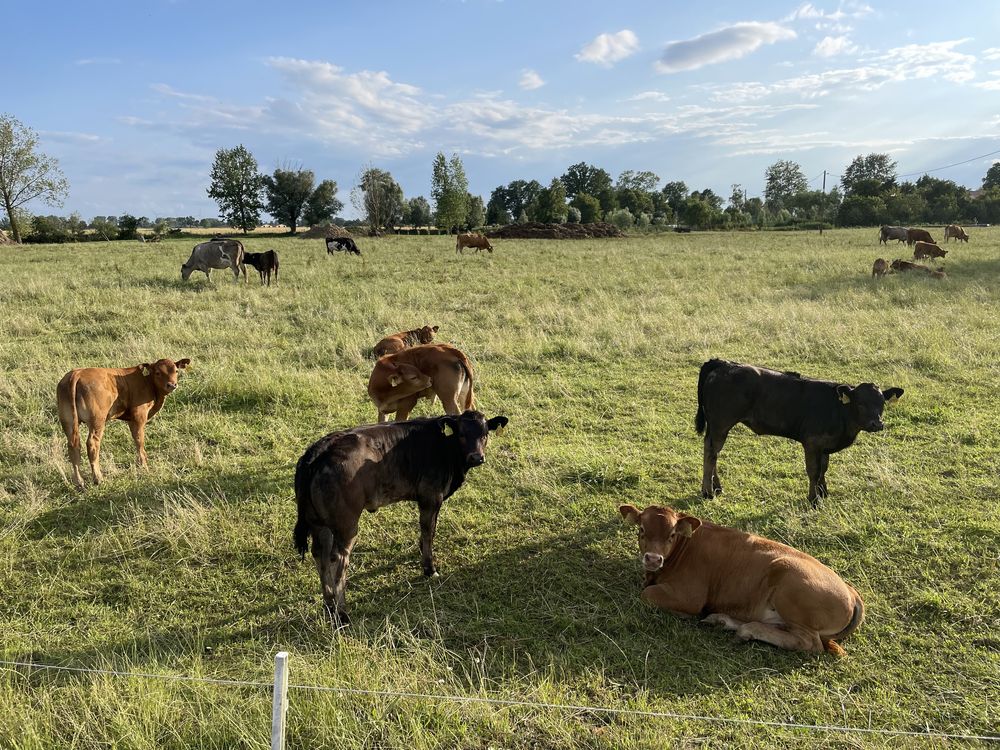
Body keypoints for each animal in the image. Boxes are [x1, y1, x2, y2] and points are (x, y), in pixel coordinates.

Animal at [56, 360, 191, 490]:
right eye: (157, 372)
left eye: (176, 371)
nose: (172, 385)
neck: (147, 382)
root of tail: (76, 374)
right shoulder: (139, 417)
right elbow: (139, 441)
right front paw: (144, 466)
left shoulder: (131, 420)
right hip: (97, 421)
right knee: (92, 444)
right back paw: (98, 478)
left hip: (68, 421)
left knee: (73, 446)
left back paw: (79, 482)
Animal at [290, 412, 508, 624]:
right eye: (461, 434)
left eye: (484, 434)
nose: (476, 457)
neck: (445, 447)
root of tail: (319, 451)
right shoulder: (431, 496)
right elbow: (428, 530)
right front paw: (429, 568)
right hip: (346, 524)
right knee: (338, 558)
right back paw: (342, 614)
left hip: (319, 523)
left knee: (320, 554)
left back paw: (329, 604)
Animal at [620, 506, 864, 656]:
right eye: (641, 529)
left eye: (672, 534)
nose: (653, 558)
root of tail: (851, 593)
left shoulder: (690, 597)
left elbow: (647, 594)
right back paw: (723, 621)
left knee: (808, 643)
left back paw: (748, 630)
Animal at [696, 358, 908, 506]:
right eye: (861, 403)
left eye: (882, 404)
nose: (877, 424)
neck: (840, 411)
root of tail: (723, 363)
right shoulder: (812, 442)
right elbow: (813, 471)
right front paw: (814, 499)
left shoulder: (824, 446)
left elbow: (824, 468)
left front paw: (824, 493)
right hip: (721, 424)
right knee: (711, 453)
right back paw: (708, 492)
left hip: (716, 426)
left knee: (713, 452)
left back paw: (716, 488)